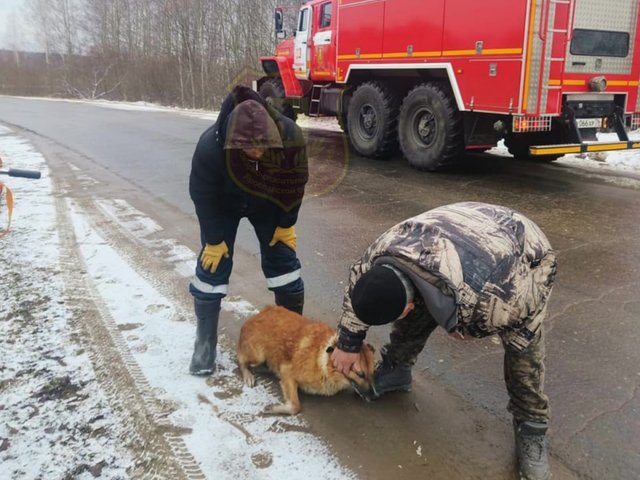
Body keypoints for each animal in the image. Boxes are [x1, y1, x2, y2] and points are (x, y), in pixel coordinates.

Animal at [236, 306, 376, 414]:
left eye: (372, 373)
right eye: (360, 374)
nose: (374, 396)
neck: (323, 363)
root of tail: (261, 313)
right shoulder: (287, 374)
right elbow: (296, 407)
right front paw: (273, 408)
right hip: (258, 356)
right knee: (241, 360)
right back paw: (248, 374)